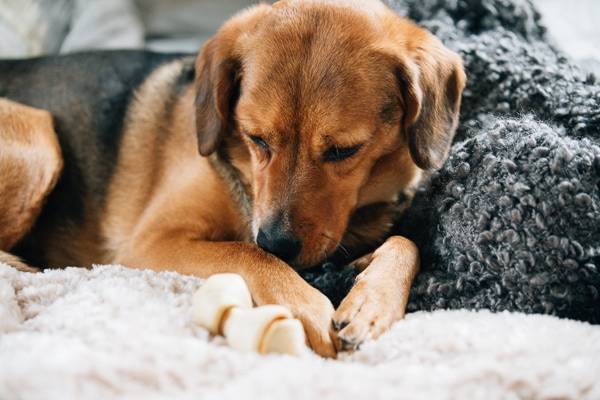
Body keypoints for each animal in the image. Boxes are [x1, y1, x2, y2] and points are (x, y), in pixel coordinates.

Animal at [0, 0, 464, 356]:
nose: (276, 242)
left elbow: (405, 242)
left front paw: (372, 304)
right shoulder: (151, 242)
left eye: (343, 150)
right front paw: (307, 308)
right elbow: (246, 254)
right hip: (38, 141)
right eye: (255, 137)